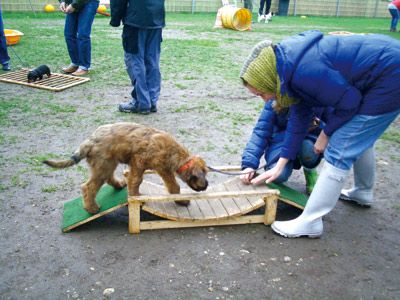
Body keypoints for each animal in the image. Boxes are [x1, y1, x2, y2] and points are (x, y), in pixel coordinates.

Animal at [43, 123, 209, 214]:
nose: (206, 186)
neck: (173, 152)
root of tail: (89, 141)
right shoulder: (138, 162)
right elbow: (136, 180)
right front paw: (135, 196)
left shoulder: (164, 170)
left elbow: (174, 187)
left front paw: (181, 200)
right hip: (104, 164)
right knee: (88, 187)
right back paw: (91, 208)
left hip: (108, 163)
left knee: (107, 178)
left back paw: (118, 185)